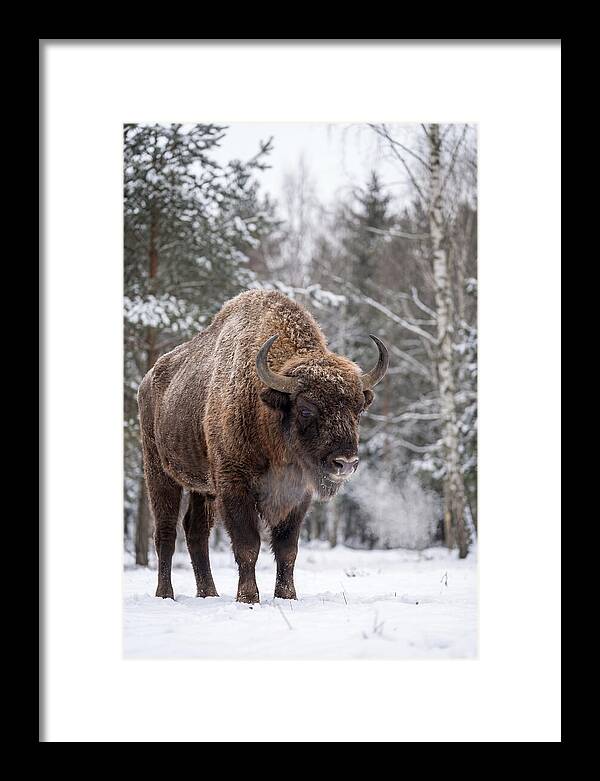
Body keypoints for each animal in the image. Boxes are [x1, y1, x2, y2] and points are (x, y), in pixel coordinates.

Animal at [138, 289, 388, 603]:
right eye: (306, 408)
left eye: (358, 409)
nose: (345, 463)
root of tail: (148, 381)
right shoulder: (234, 486)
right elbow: (248, 545)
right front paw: (248, 598)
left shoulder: (297, 494)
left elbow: (287, 549)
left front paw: (287, 596)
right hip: (159, 472)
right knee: (166, 533)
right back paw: (165, 594)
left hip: (202, 488)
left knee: (195, 532)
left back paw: (209, 594)